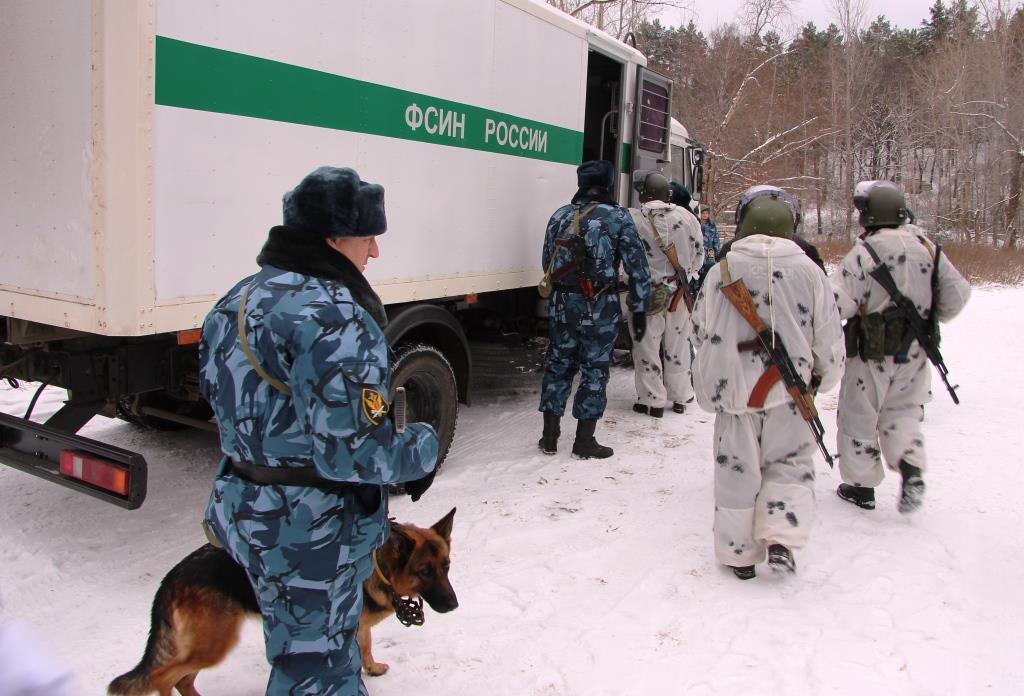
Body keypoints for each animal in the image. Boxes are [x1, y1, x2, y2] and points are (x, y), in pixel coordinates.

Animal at [108, 505, 456, 696]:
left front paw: (372, 666)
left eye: (447, 566)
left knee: (183, 679)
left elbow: (366, 646)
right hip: (216, 642)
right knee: (163, 676)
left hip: (208, 643)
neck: (379, 564)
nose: (454, 605)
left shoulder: (357, 627)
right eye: (424, 572)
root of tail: (173, 576)